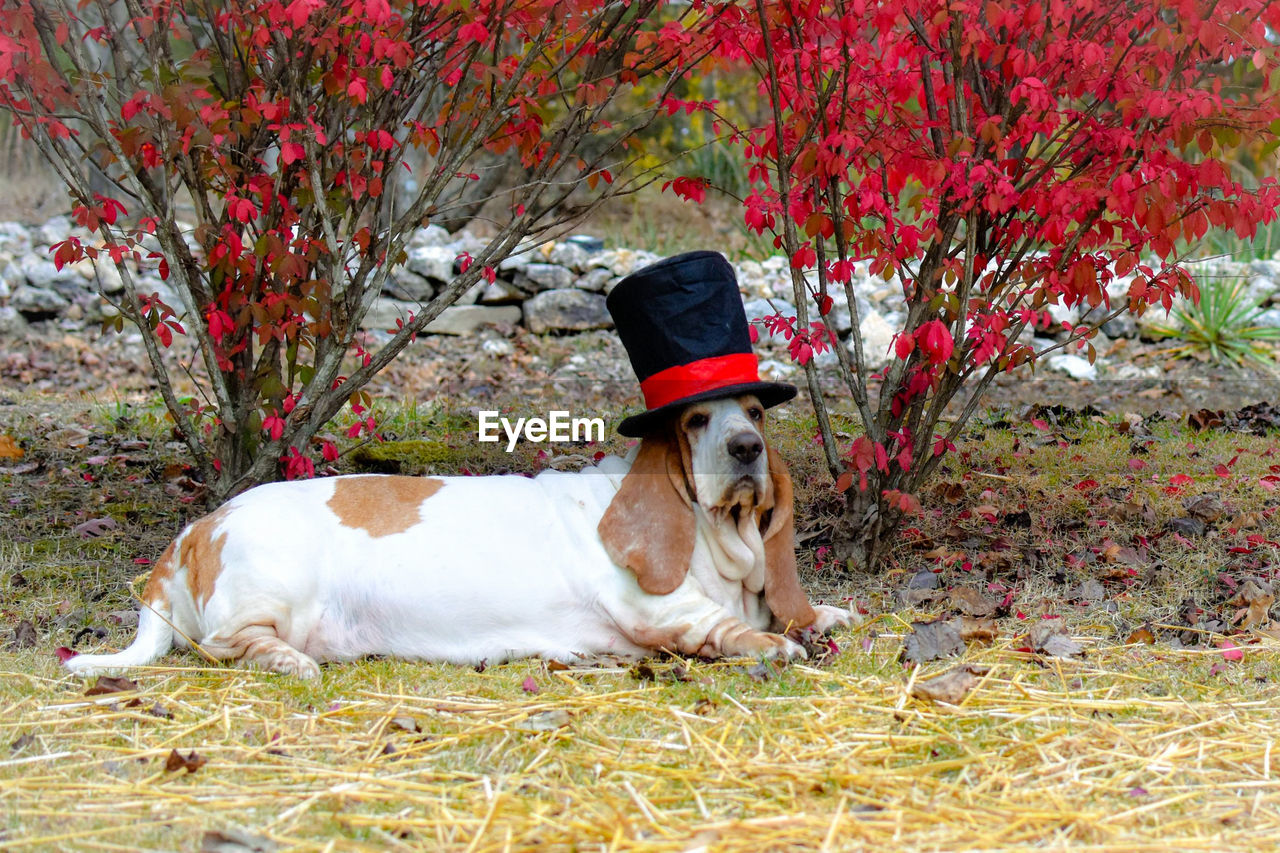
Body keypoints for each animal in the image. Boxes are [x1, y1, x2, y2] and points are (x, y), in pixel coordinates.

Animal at [64, 394, 855, 676]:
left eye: (756, 410)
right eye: (696, 421)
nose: (747, 447)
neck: (715, 535)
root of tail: (196, 529)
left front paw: (827, 616)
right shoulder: (659, 608)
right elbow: (723, 625)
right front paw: (775, 644)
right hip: (268, 595)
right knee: (229, 645)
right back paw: (290, 663)